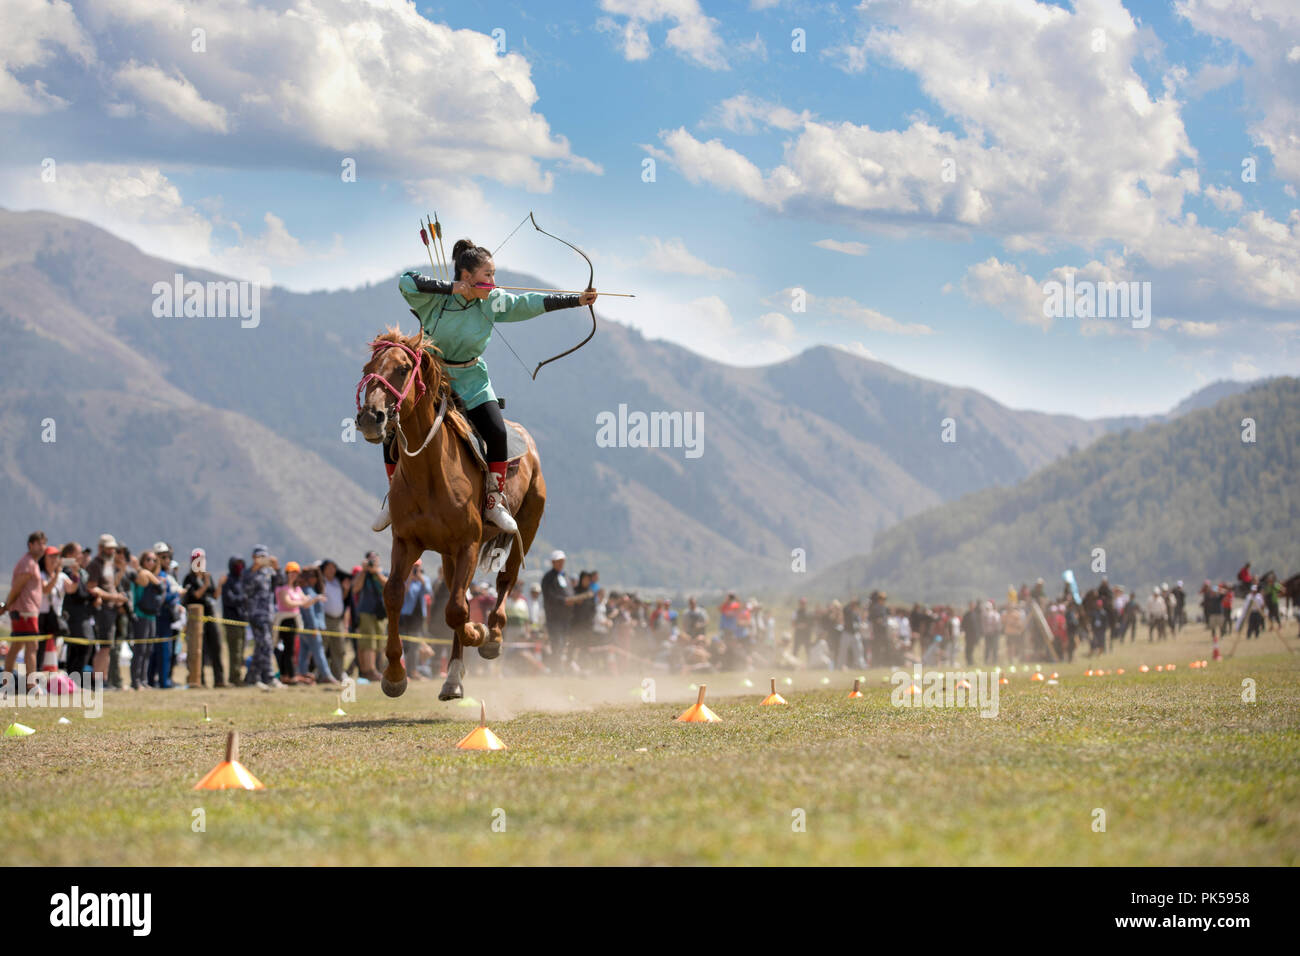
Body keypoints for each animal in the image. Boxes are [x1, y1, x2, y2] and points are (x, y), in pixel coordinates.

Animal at [353, 330, 546, 702]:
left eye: (402, 369)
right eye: (368, 369)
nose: (371, 417)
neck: (430, 472)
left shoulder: (467, 543)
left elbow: (457, 610)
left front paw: (478, 633)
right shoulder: (407, 541)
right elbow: (394, 594)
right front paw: (394, 674)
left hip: (527, 525)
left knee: (506, 579)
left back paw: (492, 636)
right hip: (446, 555)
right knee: (465, 596)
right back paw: (453, 678)